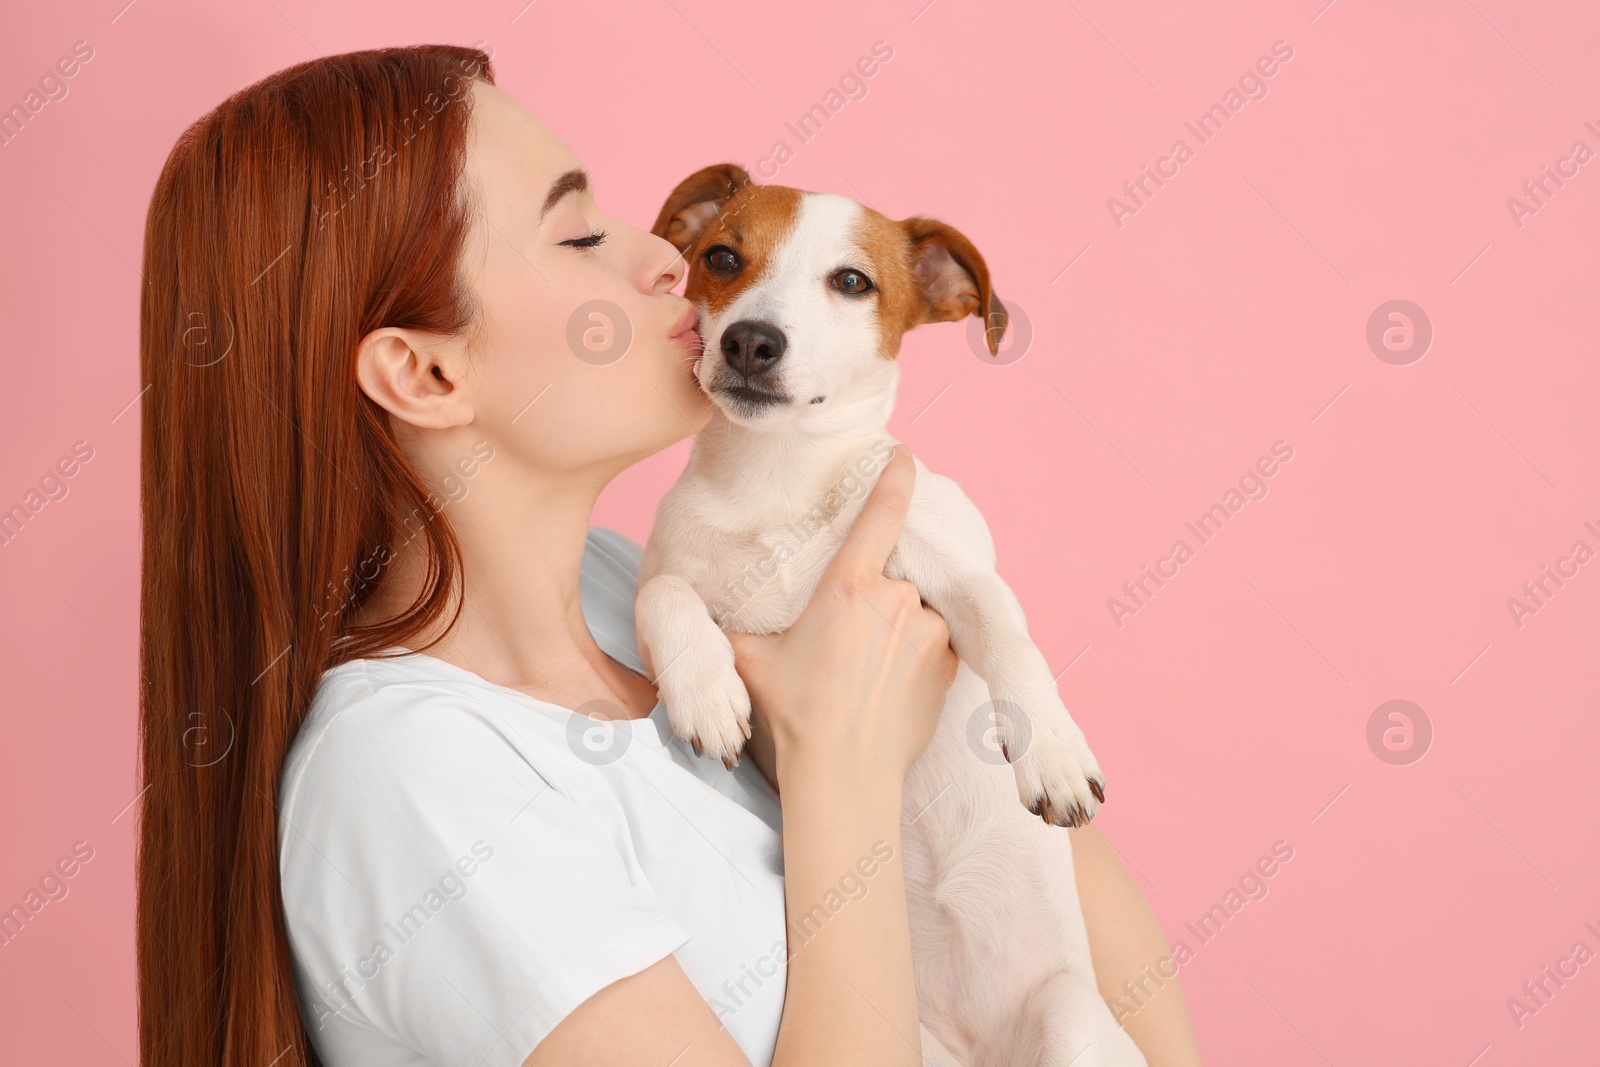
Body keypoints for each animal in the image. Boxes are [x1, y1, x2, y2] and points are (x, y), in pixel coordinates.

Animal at [630, 167, 1145, 1067]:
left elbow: (1012, 639)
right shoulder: (675, 568)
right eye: (722, 257)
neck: (778, 481)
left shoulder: (955, 568)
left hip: (1072, 1020)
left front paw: (1052, 753)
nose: (751, 342)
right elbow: (660, 594)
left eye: (852, 282)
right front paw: (706, 690)